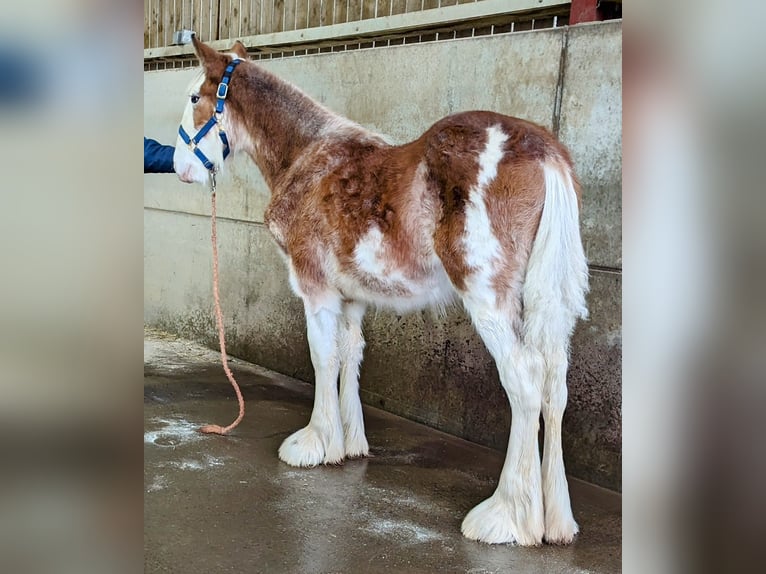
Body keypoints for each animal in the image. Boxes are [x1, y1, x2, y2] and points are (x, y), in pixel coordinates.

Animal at [174, 36, 592, 548]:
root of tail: (544, 151)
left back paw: (505, 517)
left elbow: (322, 357)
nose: (179, 167)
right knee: (554, 388)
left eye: (195, 97)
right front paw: (348, 444)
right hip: (549, 305)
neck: (307, 156)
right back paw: (555, 523)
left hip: (489, 298)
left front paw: (313, 443)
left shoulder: (315, 288)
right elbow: (349, 356)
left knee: (526, 383)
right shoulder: (353, 297)